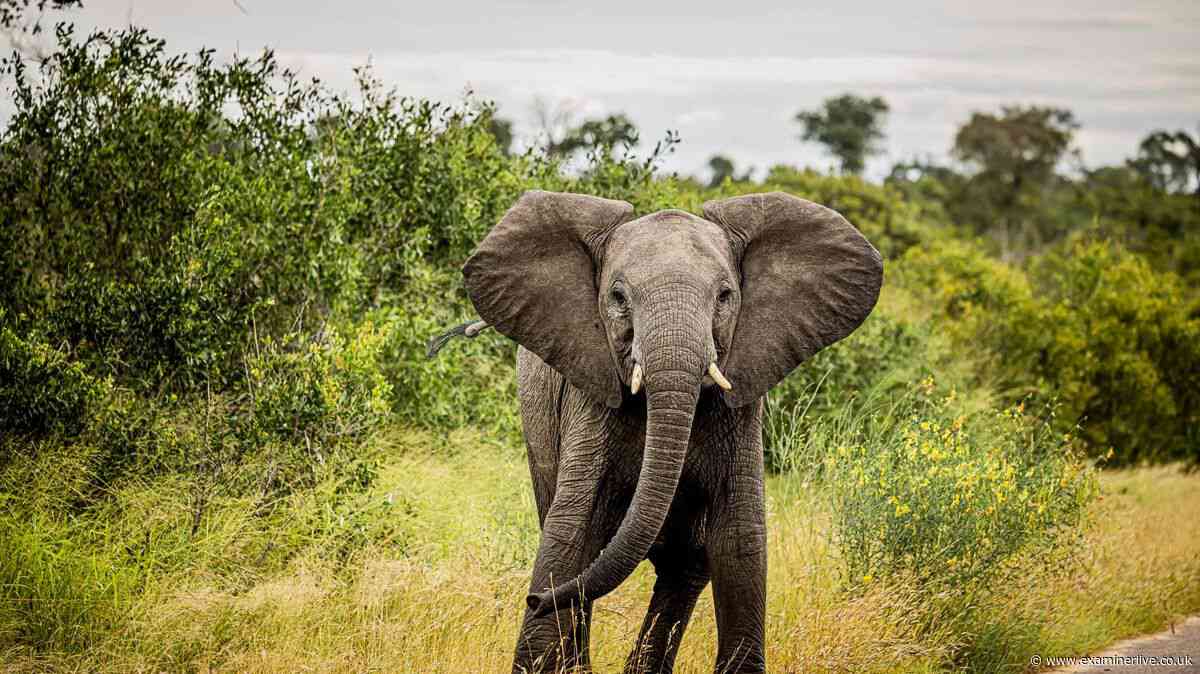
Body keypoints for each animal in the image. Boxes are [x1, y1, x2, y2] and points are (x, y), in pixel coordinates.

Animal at [437, 190, 882, 673]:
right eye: (618, 297)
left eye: (725, 296)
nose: (533, 599)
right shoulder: (590, 397)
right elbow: (571, 531)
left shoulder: (742, 404)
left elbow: (740, 542)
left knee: (685, 566)